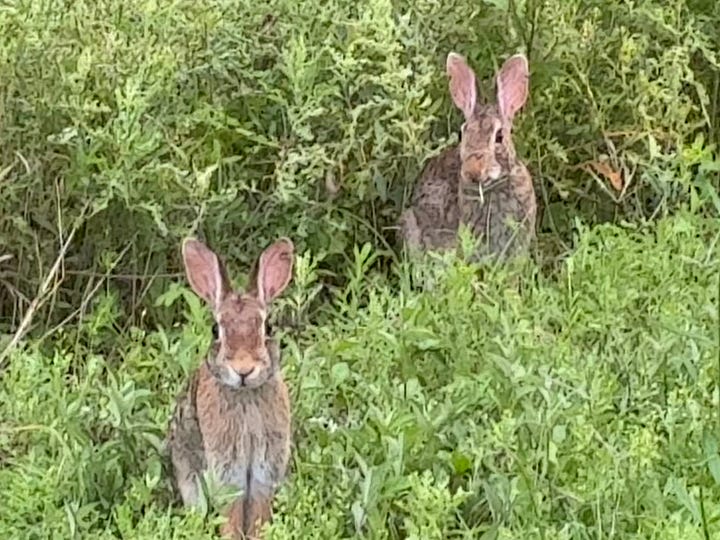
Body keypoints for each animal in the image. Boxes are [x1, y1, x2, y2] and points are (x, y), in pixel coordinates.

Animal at [167, 236, 295, 540]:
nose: (243, 370)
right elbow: (232, 513)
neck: (246, 395)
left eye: (267, 327)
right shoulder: (228, 470)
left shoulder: (264, 470)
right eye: (216, 330)